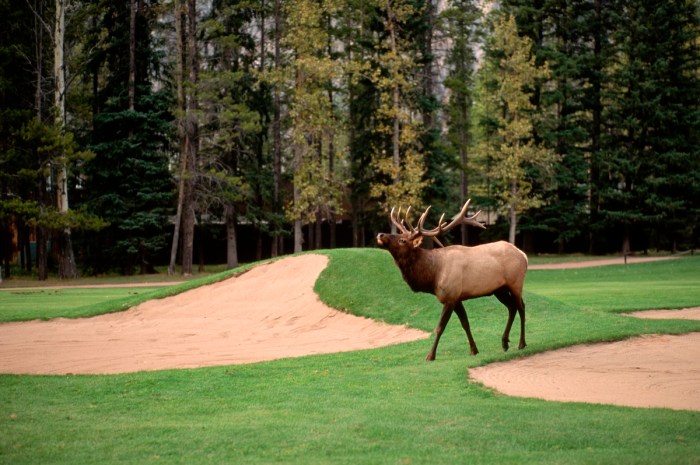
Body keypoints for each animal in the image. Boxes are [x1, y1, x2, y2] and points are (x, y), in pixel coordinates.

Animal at [376, 200, 528, 361]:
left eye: (403, 240)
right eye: (399, 233)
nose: (380, 234)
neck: (433, 276)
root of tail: (523, 255)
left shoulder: (449, 297)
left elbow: (439, 328)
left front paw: (430, 356)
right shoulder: (457, 298)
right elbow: (465, 323)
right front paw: (474, 350)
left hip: (516, 283)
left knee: (521, 307)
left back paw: (521, 343)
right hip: (499, 290)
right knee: (511, 307)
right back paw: (504, 343)